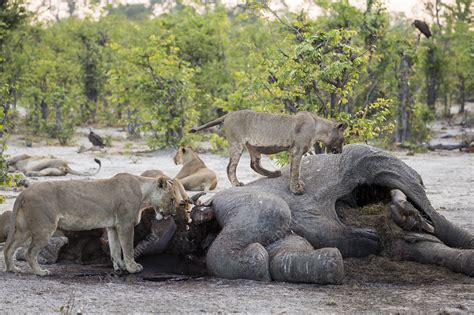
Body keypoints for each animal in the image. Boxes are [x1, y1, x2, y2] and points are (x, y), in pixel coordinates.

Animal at [4, 174, 178, 278]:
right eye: (172, 199)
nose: (174, 214)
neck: (144, 194)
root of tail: (24, 192)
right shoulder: (125, 224)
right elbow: (128, 248)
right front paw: (132, 268)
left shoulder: (113, 226)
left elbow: (115, 249)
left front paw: (119, 267)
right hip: (45, 227)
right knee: (29, 252)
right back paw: (40, 272)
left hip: (23, 229)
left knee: (9, 248)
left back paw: (13, 269)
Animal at [189, 110, 344, 195]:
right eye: (342, 140)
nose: (341, 151)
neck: (319, 129)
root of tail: (227, 115)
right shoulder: (296, 150)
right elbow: (295, 170)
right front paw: (296, 189)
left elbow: (296, 170)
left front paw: (298, 184)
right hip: (237, 143)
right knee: (230, 167)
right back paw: (237, 184)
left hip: (253, 147)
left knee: (254, 165)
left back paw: (274, 173)